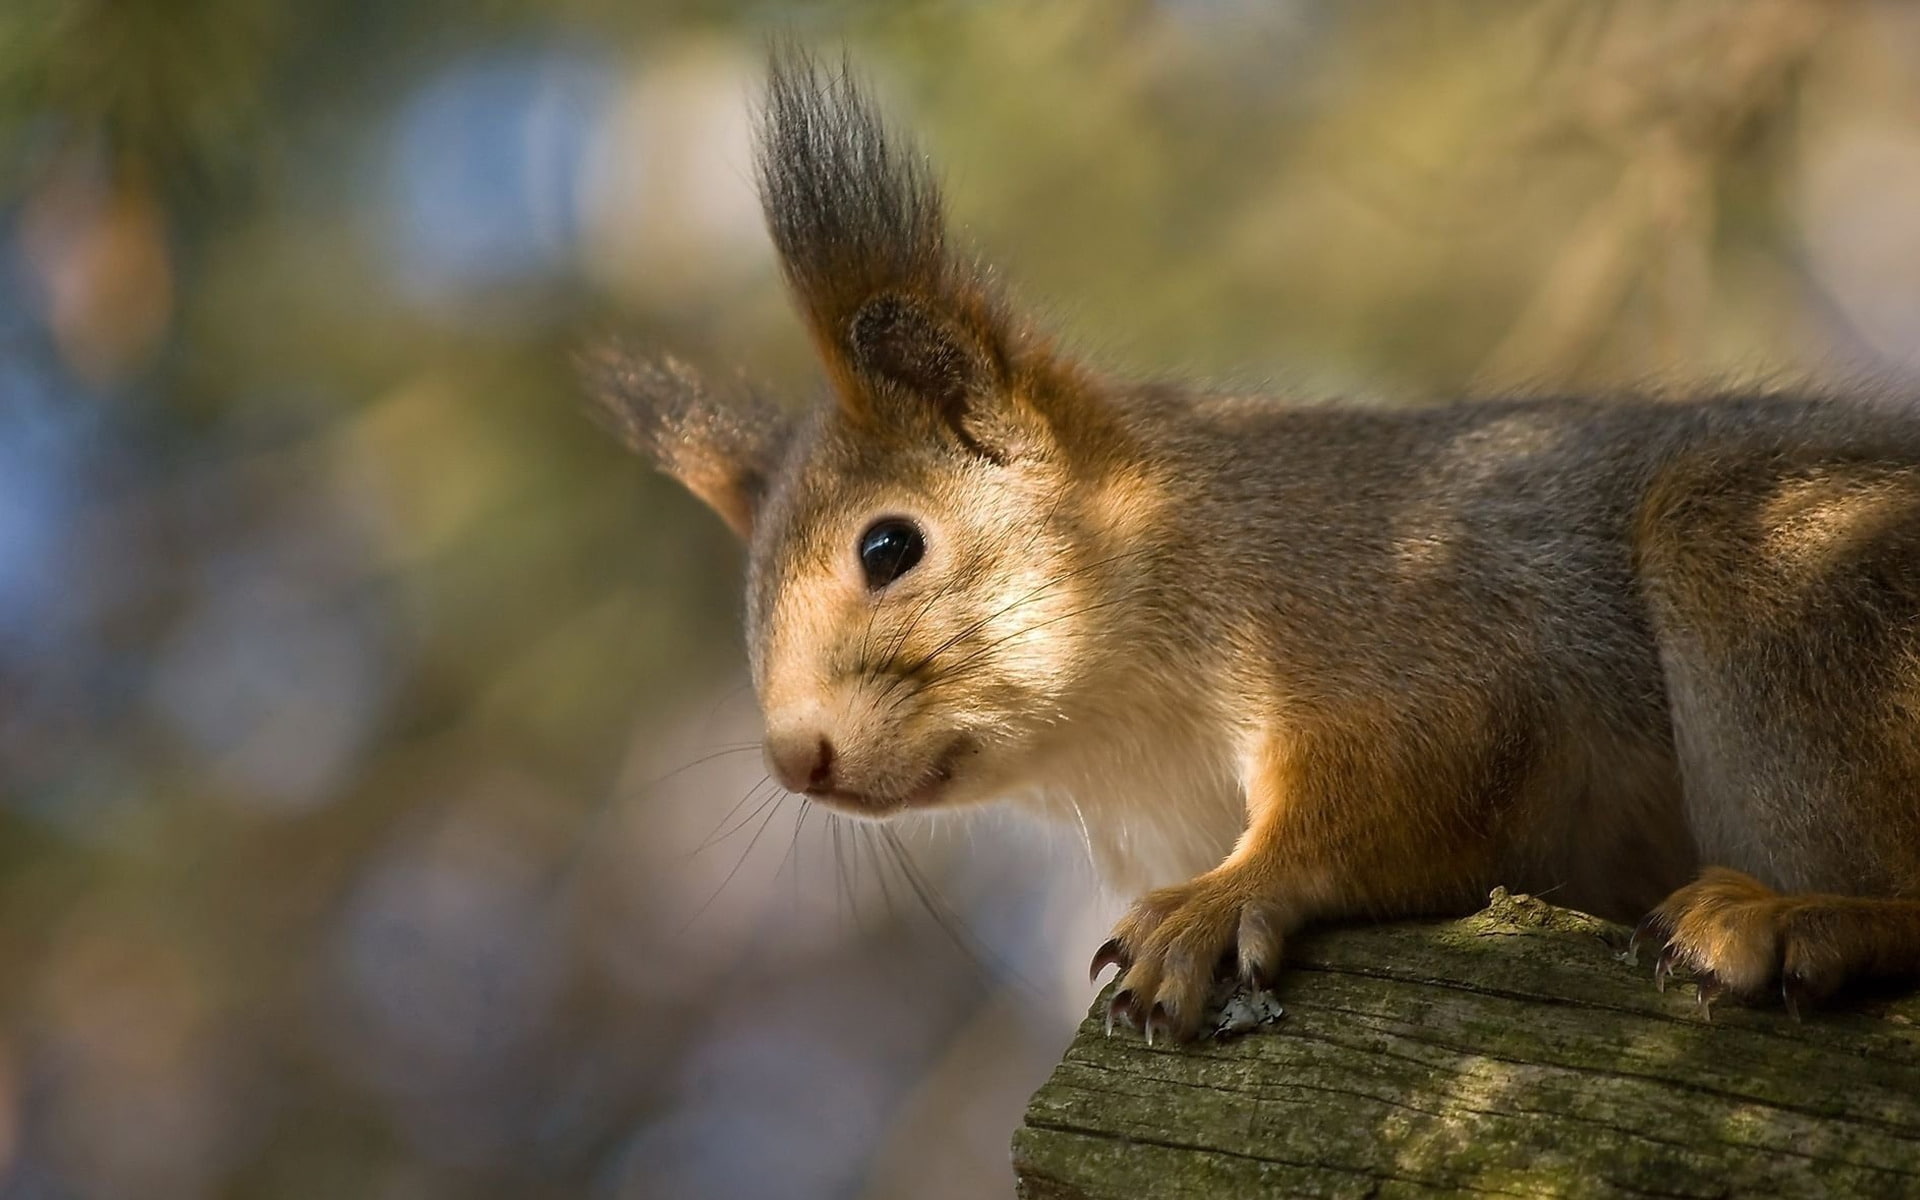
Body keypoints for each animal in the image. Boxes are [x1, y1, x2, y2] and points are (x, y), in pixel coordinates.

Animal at [583, 52, 1920, 1043]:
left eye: (888, 548)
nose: (794, 758)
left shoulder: (1390, 610)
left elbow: (1420, 769)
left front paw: (1223, 900)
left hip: (1779, 566)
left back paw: (1802, 919)